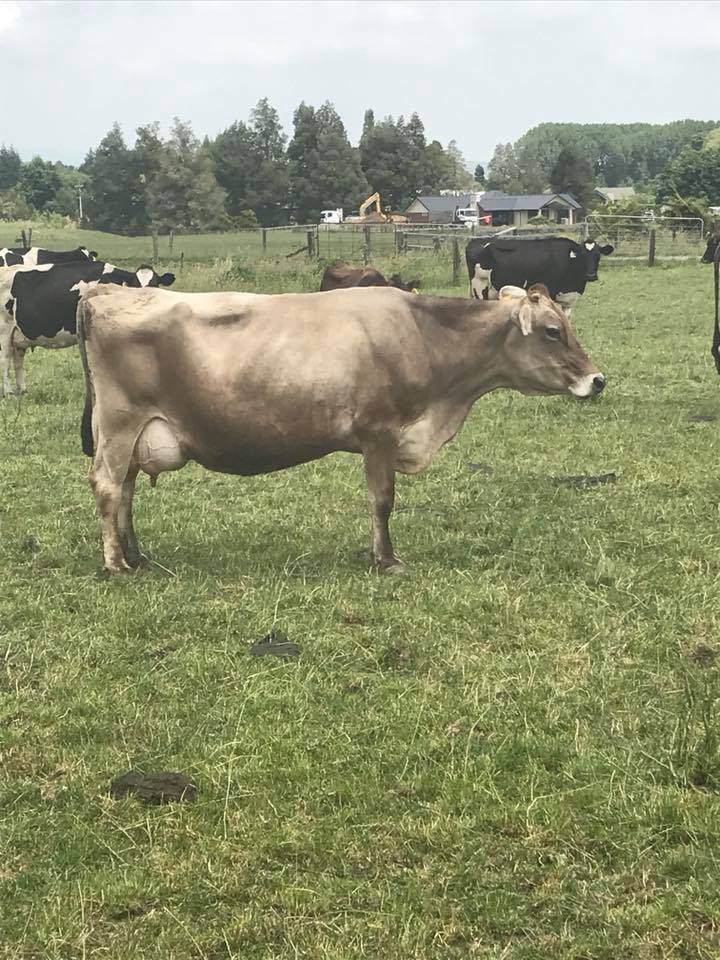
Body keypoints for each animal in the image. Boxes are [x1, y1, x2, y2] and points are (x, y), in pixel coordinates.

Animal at [0, 262, 175, 395]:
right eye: (135, 285)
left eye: (155, 284)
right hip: (4, 331)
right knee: (5, 360)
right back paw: (8, 392)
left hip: (18, 335)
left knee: (18, 361)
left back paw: (23, 391)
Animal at [77, 282, 605, 574]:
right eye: (553, 331)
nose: (597, 379)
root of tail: (106, 291)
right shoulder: (380, 431)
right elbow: (382, 500)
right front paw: (387, 561)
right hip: (120, 422)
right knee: (108, 487)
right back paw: (115, 564)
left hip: (132, 431)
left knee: (125, 491)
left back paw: (136, 554)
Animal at [466, 237, 614, 317]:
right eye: (582, 255)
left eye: (598, 256)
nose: (591, 275)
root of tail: (477, 241)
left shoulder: (569, 301)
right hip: (479, 287)